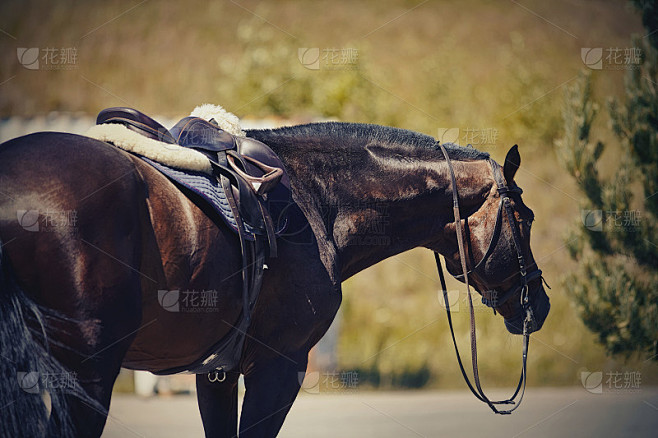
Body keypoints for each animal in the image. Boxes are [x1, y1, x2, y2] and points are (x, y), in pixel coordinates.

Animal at [0, 121, 550, 437]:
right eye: (524, 219)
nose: (538, 305)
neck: (316, 200)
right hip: (86, 372)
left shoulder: (216, 373)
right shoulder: (280, 367)